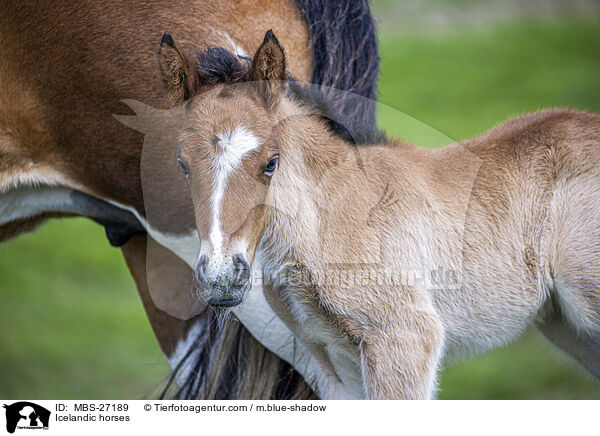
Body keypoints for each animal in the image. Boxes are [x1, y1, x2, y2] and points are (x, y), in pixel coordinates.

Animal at [166, 30, 600, 398]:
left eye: (271, 162)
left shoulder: (403, 337)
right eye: (182, 165)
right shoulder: (334, 362)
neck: (328, 218)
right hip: (567, 325)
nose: (221, 278)